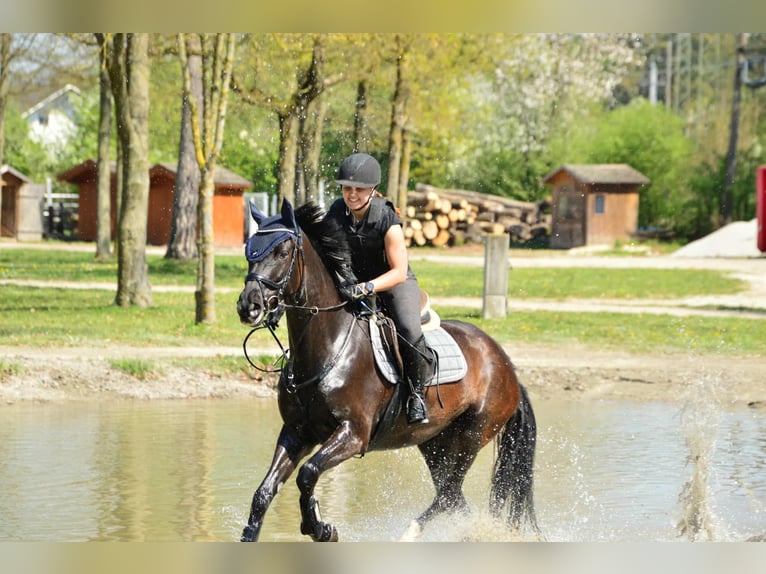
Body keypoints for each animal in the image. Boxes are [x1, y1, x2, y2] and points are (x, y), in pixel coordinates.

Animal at [236, 199, 540, 542]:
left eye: (282, 252)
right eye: (249, 250)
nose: (248, 306)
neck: (329, 347)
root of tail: (505, 364)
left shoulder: (354, 434)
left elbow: (308, 473)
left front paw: (321, 527)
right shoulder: (297, 432)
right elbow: (264, 493)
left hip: (472, 436)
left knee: (449, 493)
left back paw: (410, 533)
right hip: (435, 442)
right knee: (453, 498)